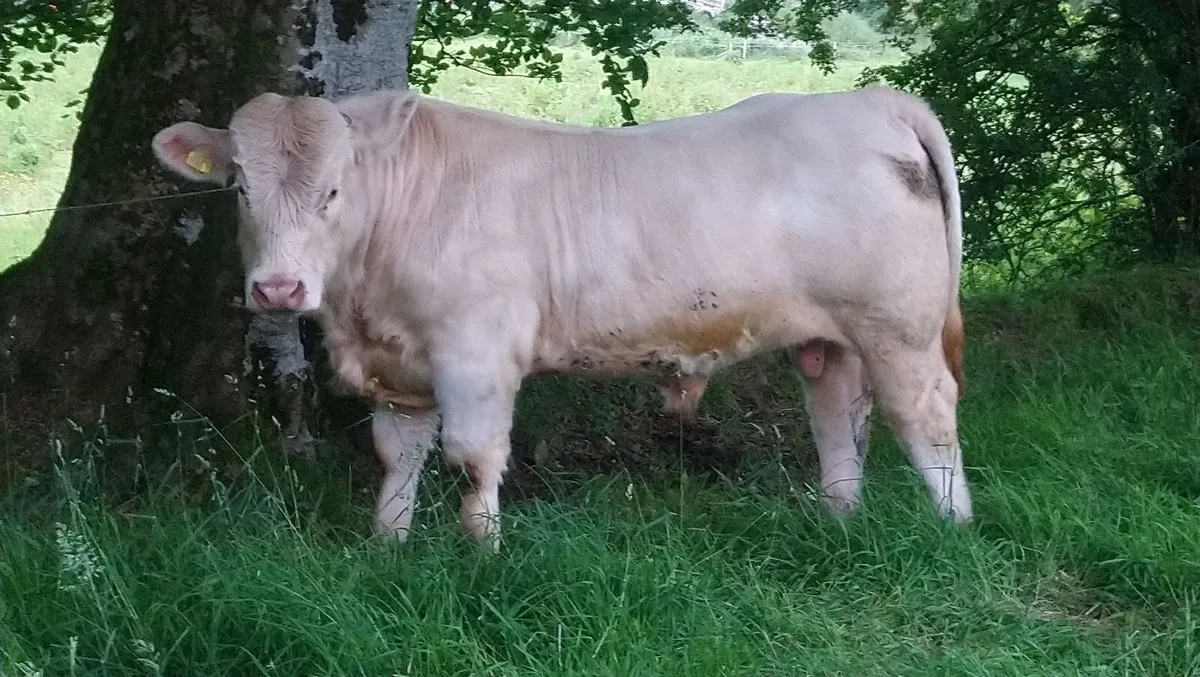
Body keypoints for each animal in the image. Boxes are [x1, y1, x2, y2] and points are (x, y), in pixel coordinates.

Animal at [150, 83, 973, 550]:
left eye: (332, 191)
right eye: (240, 188)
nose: (279, 289)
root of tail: (870, 97)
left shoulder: (476, 356)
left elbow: (472, 458)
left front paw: (481, 557)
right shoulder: (401, 364)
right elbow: (397, 456)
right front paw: (388, 548)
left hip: (898, 327)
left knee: (926, 416)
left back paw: (955, 529)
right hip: (829, 336)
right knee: (838, 413)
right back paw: (839, 519)